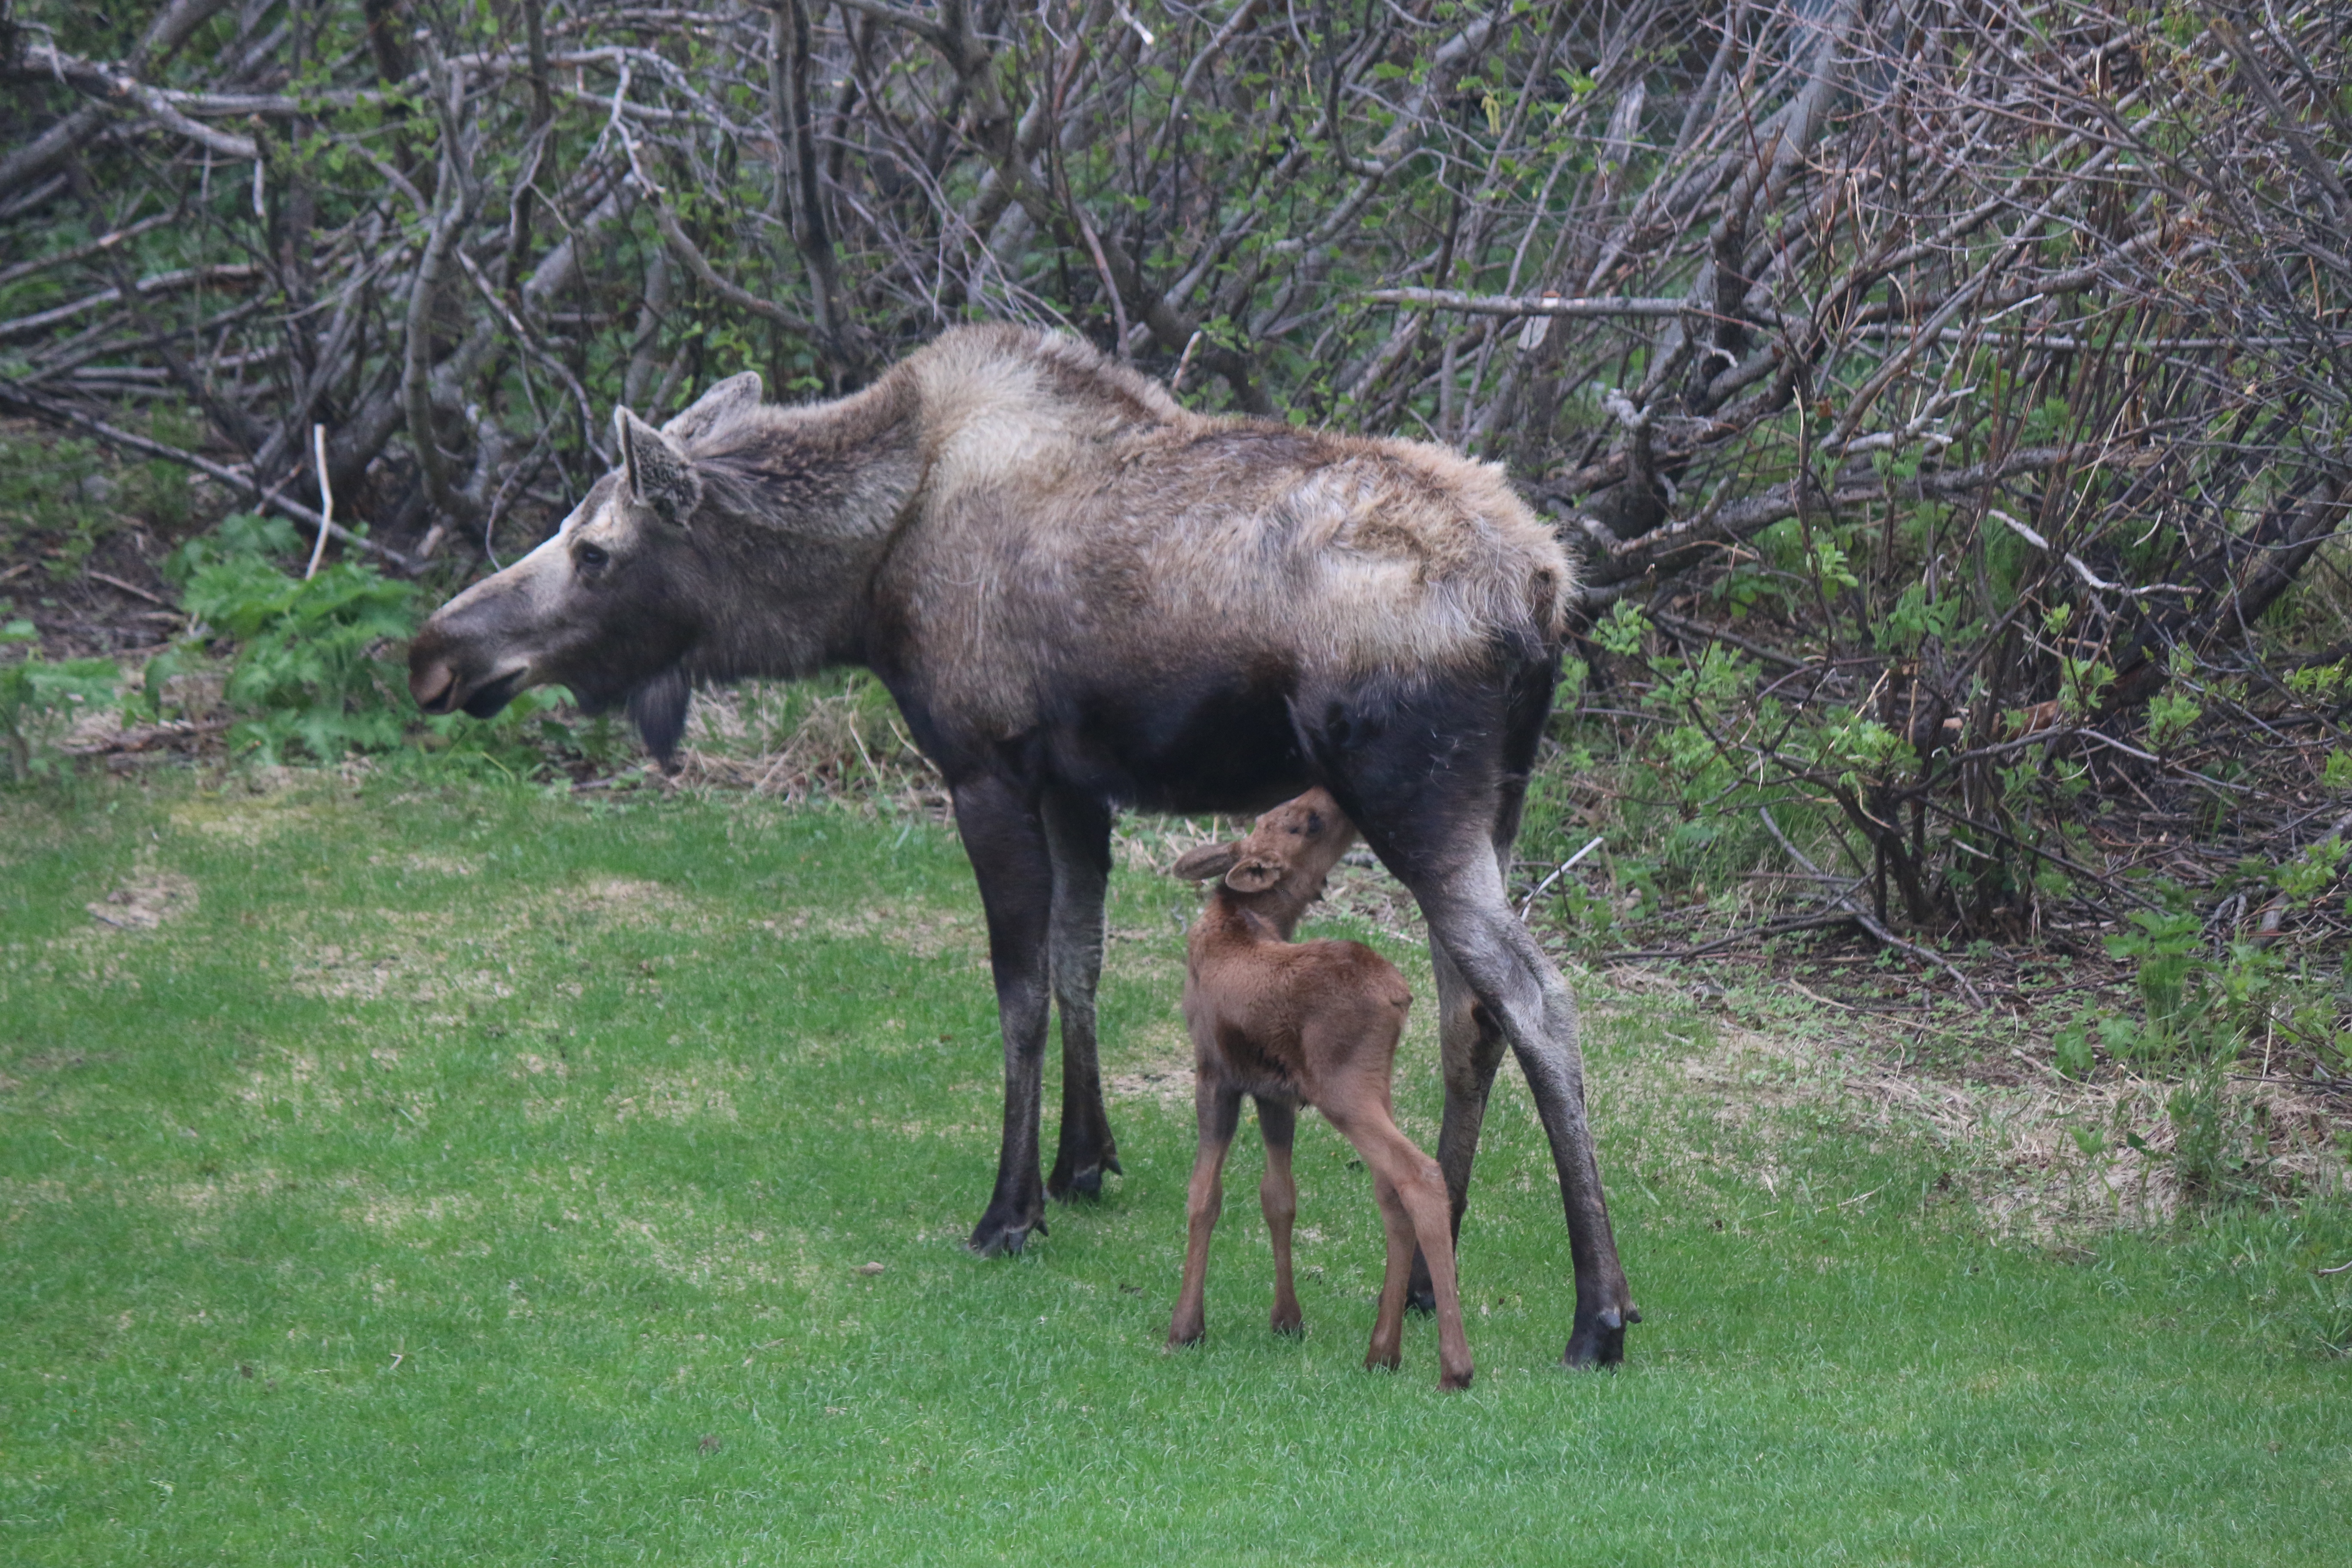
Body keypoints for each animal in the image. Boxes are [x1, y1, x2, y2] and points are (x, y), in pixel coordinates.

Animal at [1167, 788, 1472, 1390]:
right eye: (1302, 821)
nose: (1331, 792)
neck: (1244, 918)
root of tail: (1400, 995)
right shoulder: (1273, 1092)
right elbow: (1278, 1197)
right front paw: (1287, 1318)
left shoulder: (1214, 1074)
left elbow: (1203, 1196)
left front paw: (1186, 1326)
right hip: (1375, 1085)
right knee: (1388, 1190)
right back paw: (1383, 1350)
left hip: (1344, 1090)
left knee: (1419, 1174)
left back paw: (1454, 1365)